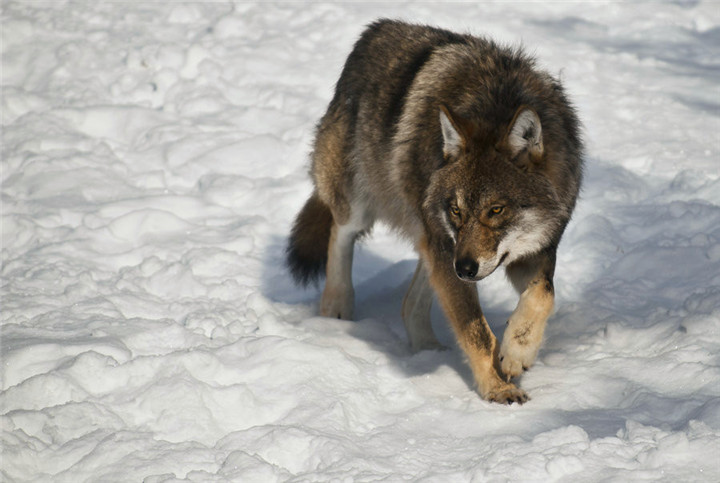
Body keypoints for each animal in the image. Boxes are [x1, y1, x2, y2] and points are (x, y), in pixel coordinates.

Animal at [284, 19, 584, 404]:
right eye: (456, 210)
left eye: (496, 209)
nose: (465, 268)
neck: (496, 101)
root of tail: (376, 29)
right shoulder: (449, 248)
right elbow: (477, 332)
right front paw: (498, 388)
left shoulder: (533, 251)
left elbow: (544, 296)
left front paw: (517, 353)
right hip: (370, 209)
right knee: (340, 233)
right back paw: (336, 310)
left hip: (434, 243)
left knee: (410, 302)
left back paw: (428, 349)